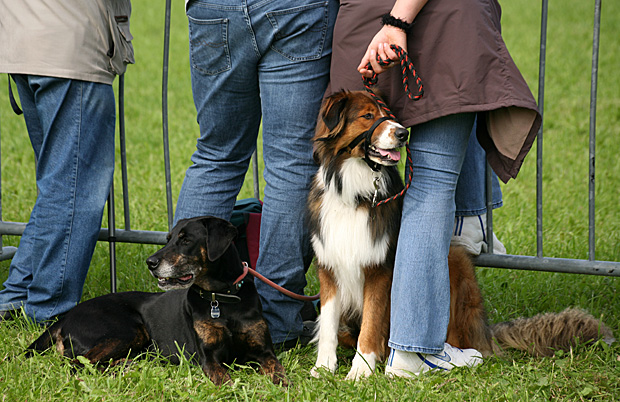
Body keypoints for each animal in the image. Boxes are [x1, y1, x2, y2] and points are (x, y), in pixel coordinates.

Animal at [24, 215, 286, 384]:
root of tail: (65, 318)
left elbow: (279, 373)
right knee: (79, 364)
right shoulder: (209, 357)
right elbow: (224, 380)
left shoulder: (264, 352)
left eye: (185, 240)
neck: (222, 298)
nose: (150, 263)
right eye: (168, 239)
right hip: (127, 330)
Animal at [308, 91, 612, 380]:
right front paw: (324, 367)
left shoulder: (378, 270)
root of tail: (484, 332)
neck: (355, 192)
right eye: (368, 115)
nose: (404, 133)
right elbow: (328, 325)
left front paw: (361, 370)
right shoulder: (329, 267)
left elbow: (370, 326)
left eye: (389, 115)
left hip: (455, 261)